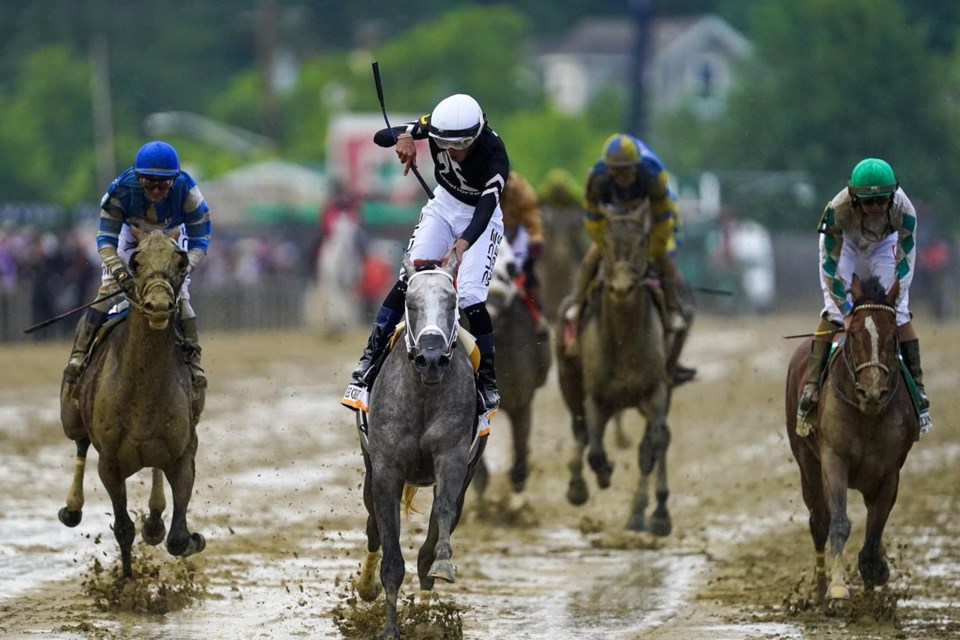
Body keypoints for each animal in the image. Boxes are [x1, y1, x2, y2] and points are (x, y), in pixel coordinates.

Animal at [352, 250, 488, 640]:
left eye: (452, 302)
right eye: (410, 304)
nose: (431, 358)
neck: (423, 393)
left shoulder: (454, 458)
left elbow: (440, 517)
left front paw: (441, 569)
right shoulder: (385, 470)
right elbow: (390, 554)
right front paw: (389, 628)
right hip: (371, 471)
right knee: (373, 526)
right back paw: (366, 586)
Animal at [556, 202, 676, 532]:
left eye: (643, 241)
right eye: (605, 244)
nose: (622, 287)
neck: (624, 337)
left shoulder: (657, 391)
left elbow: (654, 443)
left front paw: (653, 514)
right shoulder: (595, 396)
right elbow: (595, 450)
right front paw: (601, 474)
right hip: (570, 383)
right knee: (581, 431)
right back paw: (578, 485)